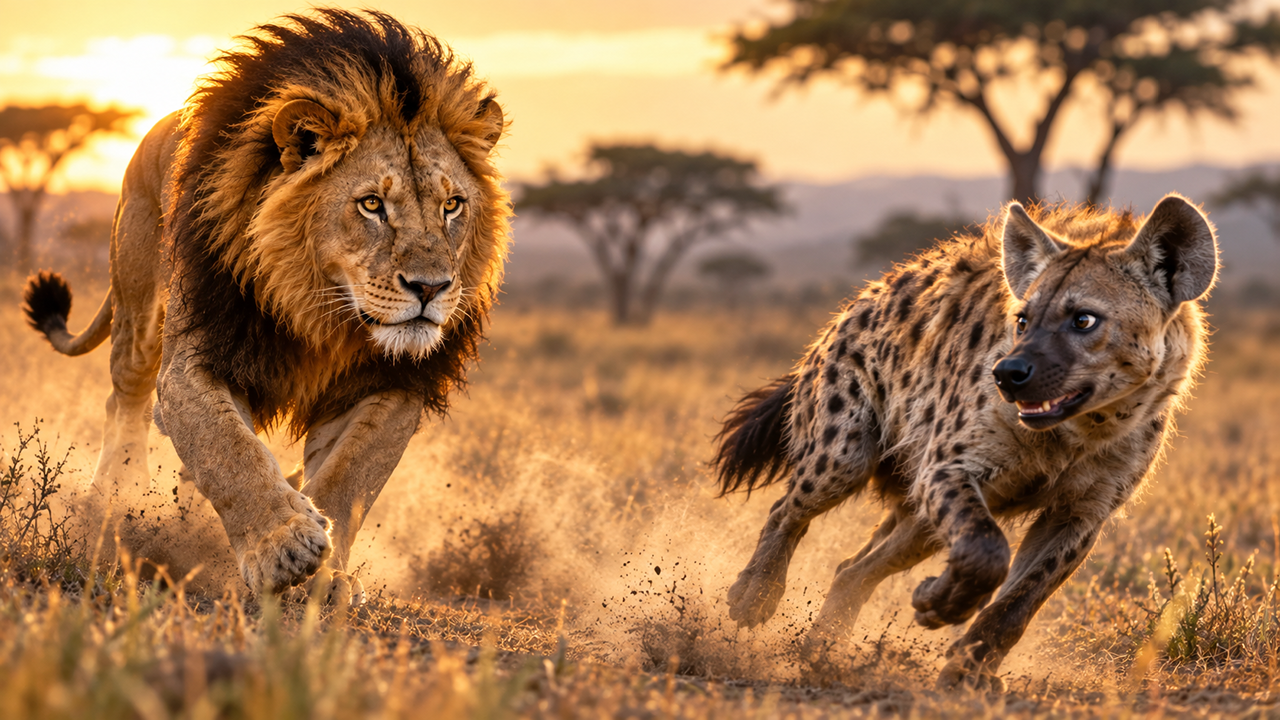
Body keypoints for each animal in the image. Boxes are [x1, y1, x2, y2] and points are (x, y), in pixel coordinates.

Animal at [22, 10, 509, 603]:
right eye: (371, 204)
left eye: (452, 205)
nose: (431, 288)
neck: (321, 313)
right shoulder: (196, 359)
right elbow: (229, 450)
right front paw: (282, 547)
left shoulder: (390, 383)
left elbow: (349, 477)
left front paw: (328, 576)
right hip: (137, 315)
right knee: (126, 404)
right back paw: (114, 503)